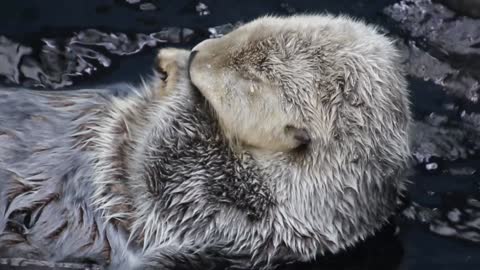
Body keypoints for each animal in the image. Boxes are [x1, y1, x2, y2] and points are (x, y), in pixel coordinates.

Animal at [0, 15, 412, 270]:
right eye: (246, 30)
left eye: (250, 77)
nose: (197, 52)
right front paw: (173, 61)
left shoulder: (231, 219)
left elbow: (160, 176)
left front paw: (180, 75)